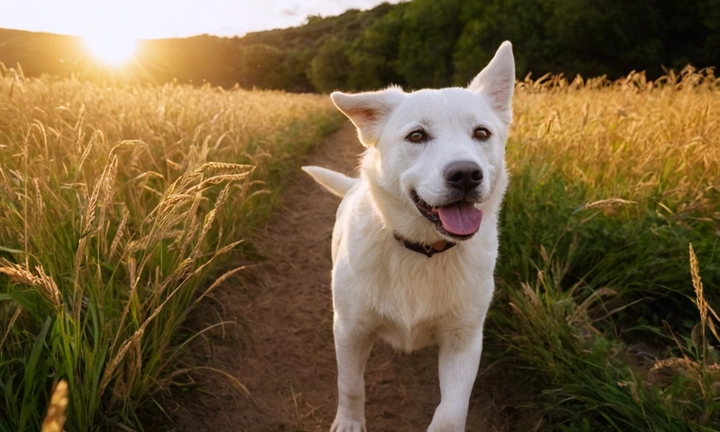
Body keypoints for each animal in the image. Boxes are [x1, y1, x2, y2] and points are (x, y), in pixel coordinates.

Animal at [300, 41, 516, 432]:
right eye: (417, 135)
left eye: (481, 133)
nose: (466, 174)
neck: (422, 250)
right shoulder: (349, 330)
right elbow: (350, 384)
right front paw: (349, 422)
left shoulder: (465, 340)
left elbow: (450, 413)